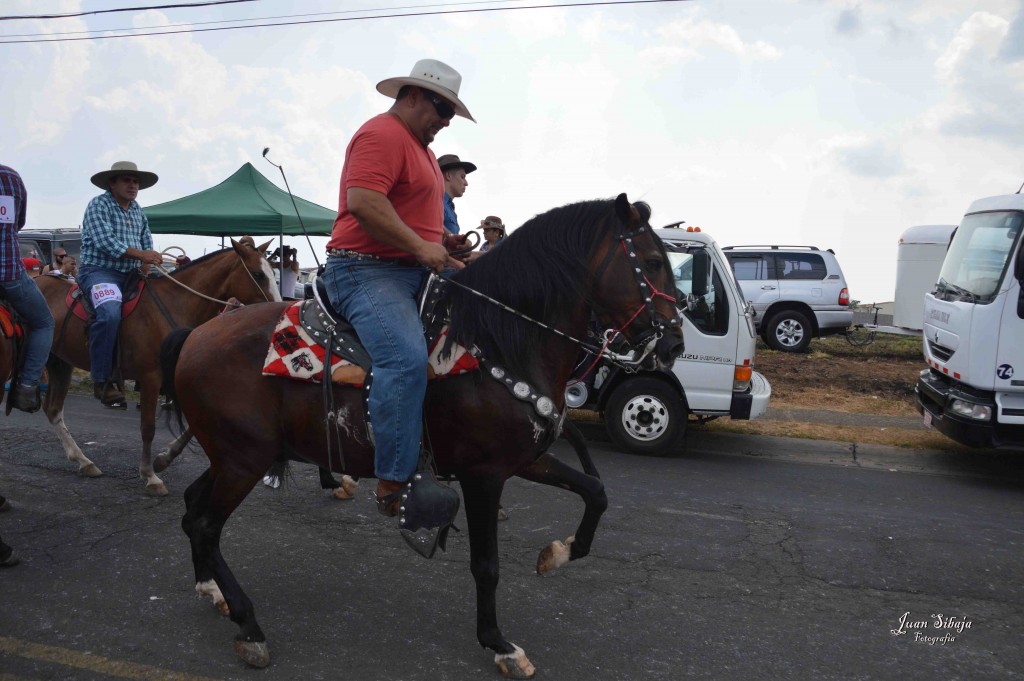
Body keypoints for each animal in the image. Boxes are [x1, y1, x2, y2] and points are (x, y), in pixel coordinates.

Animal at [34, 240, 282, 493]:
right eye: (258, 274)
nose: (279, 308)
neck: (174, 304)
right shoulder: (151, 378)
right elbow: (148, 427)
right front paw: (150, 475)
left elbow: (192, 424)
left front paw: (164, 458)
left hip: (60, 362)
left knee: (53, 409)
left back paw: (83, 460)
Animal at [161, 195, 688, 675]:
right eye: (654, 262)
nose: (674, 344)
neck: (499, 341)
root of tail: (196, 335)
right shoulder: (483, 476)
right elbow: (486, 565)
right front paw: (498, 643)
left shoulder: (527, 460)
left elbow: (595, 491)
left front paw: (558, 554)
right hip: (244, 460)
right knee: (206, 525)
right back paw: (249, 626)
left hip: (231, 457)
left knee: (192, 508)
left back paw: (211, 590)